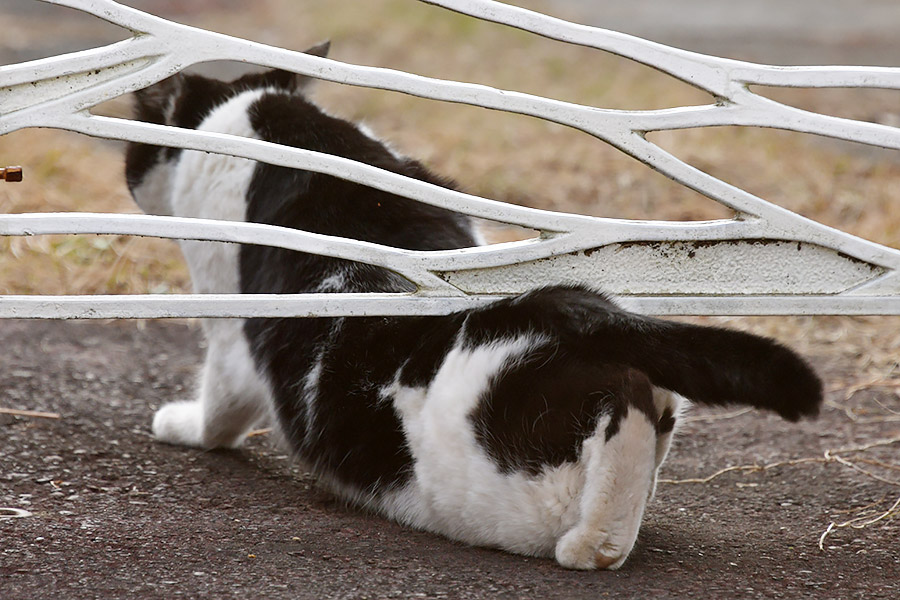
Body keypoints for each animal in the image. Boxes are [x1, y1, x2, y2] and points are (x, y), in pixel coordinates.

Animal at [125, 44, 824, 568]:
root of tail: (575, 311)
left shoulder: (229, 325)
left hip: (497, 489)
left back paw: (589, 545)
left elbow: (219, 405)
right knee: (649, 410)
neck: (276, 128)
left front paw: (181, 426)